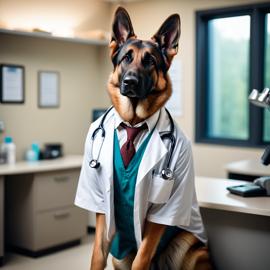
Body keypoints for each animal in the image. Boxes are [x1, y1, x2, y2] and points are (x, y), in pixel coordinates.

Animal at [92, 6, 182, 270]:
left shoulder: (159, 220)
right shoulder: (102, 216)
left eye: (150, 60)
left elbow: (142, 257)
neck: (133, 122)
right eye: (126, 58)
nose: (129, 82)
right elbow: (96, 254)